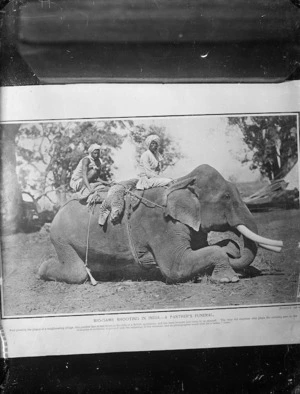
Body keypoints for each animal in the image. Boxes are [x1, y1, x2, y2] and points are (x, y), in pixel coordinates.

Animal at [38, 165, 282, 284]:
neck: (180, 181)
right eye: (226, 197)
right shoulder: (161, 225)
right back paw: (42, 270)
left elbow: (202, 249)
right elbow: (176, 268)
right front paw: (229, 278)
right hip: (60, 238)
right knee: (77, 272)